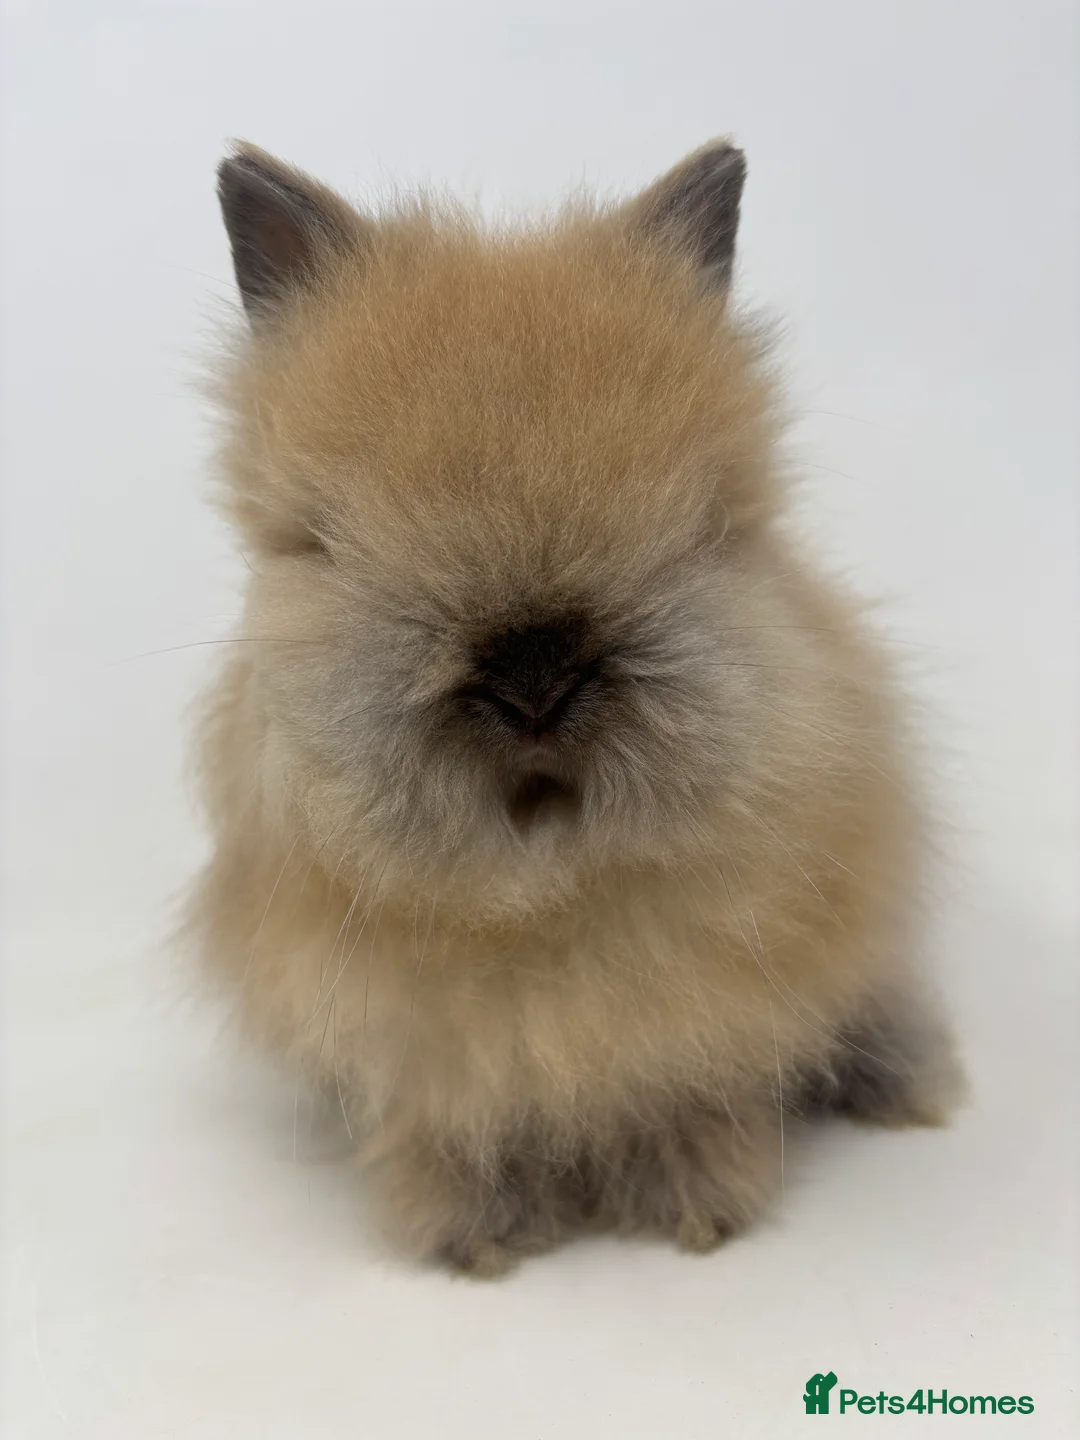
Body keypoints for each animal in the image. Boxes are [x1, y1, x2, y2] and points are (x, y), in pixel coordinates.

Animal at [188, 139, 964, 1276]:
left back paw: (911, 1089)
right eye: (322, 539)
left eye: (704, 524)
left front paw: (701, 1209)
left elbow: (693, 1092)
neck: (547, 873)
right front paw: (471, 1239)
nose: (535, 679)